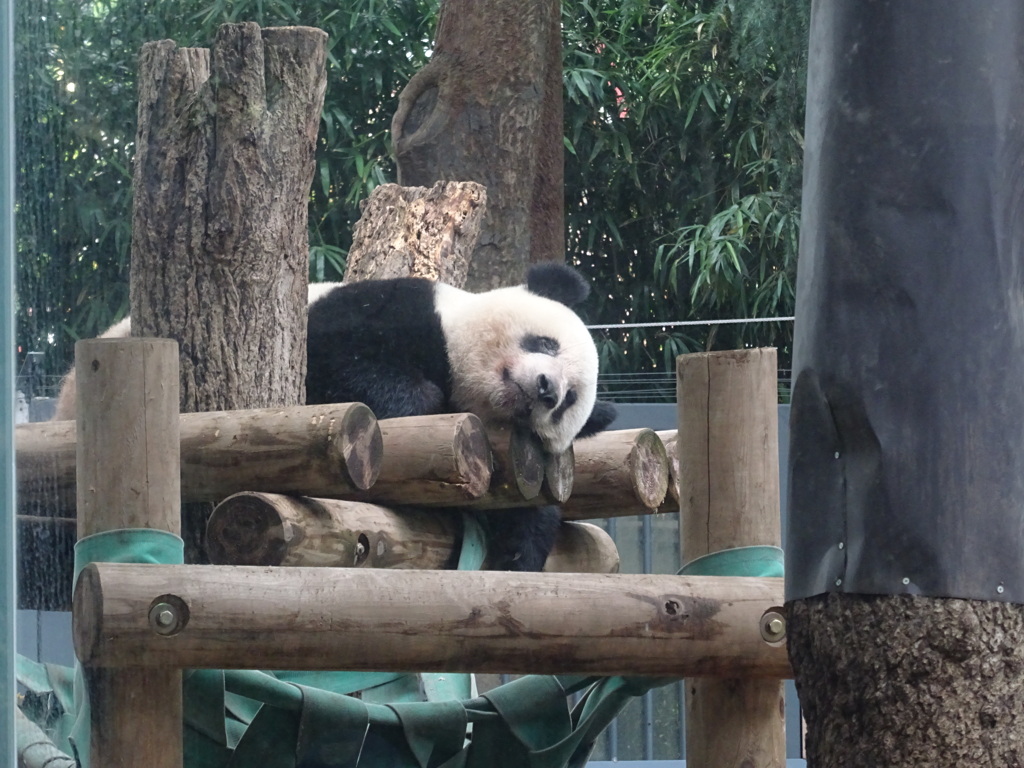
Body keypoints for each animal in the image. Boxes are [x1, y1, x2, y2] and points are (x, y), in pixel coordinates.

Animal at [303, 264, 614, 573]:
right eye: (547, 344)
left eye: (569, 399)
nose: (547, 390)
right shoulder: (394, 308)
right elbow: (338, 354)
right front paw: (423, 402)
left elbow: (530, 513)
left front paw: (517, 555)